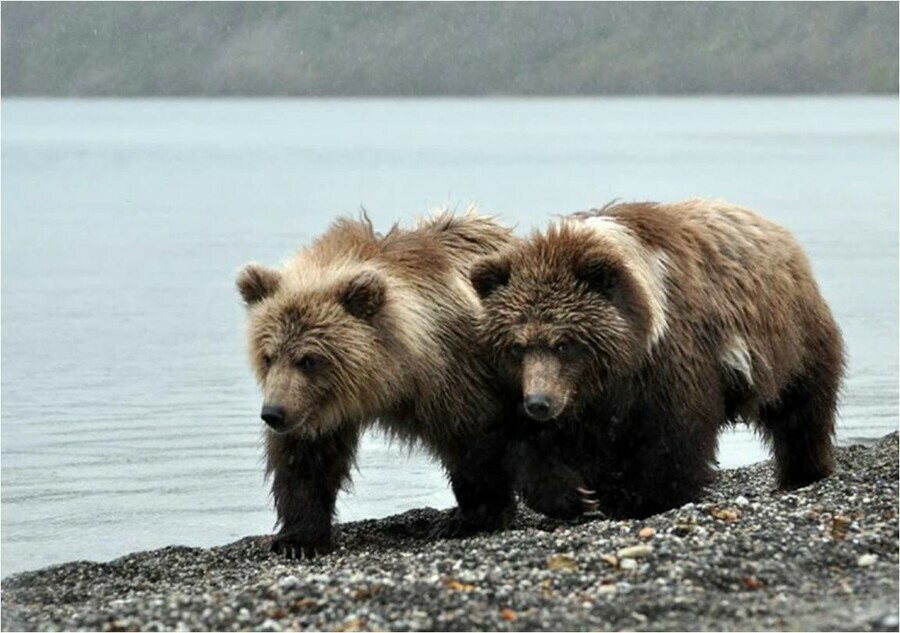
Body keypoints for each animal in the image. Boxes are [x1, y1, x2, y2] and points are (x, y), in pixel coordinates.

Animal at [237, 210, 520, 556]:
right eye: (268, 356)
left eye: (309, 359)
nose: (273, 413)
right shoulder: (315, 409)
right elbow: (305, 460)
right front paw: (298, 539)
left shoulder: (455, 373)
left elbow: (473, 438)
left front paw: (471, 518)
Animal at [472, 198, 844, 520]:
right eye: (516, 346)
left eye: (564, 344)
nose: (539, 402)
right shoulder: (549, 392)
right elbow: (526, 442)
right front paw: (576, 496)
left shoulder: (669, 364)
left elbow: (673, 434)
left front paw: (648, 499)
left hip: (793, 339)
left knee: (801, 411)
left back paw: (803, 471)